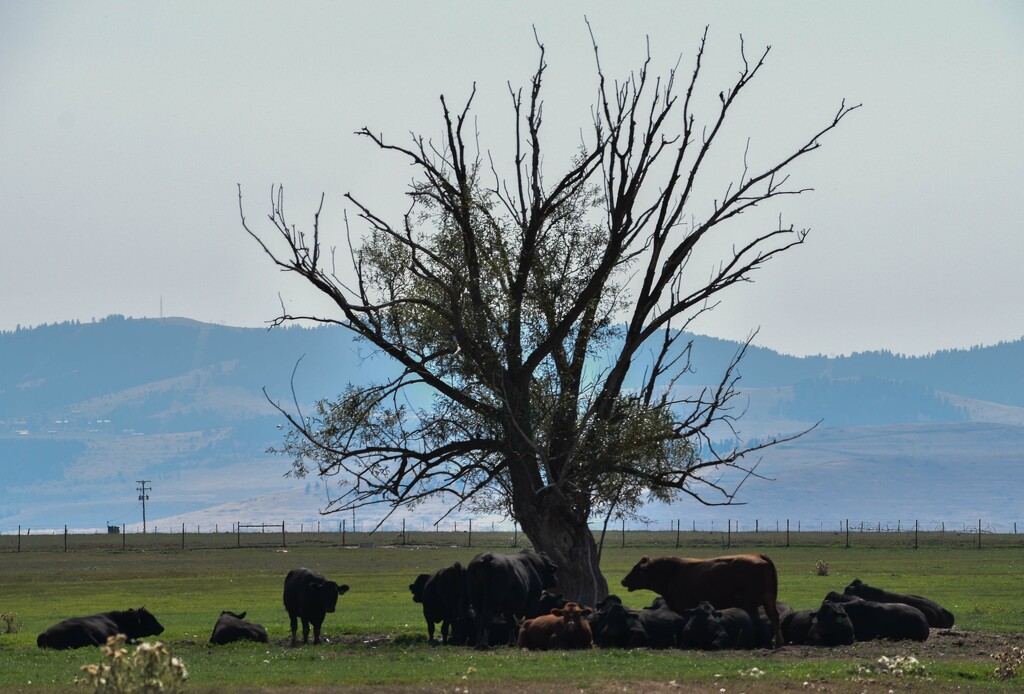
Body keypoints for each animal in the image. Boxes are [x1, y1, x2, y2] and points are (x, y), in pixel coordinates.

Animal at [614, 556, 782, 651]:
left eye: (637, 569)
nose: (623, 580)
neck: (672, 573)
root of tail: (760, 558)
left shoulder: (682, 606)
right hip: (768, 601)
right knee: (775, 617)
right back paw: (779, 643)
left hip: (752, 604)